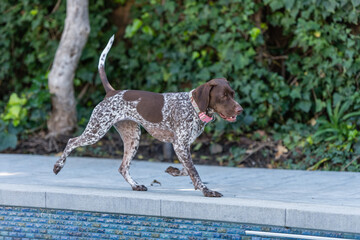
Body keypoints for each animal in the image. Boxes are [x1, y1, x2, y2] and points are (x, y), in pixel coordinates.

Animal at [53, 35, 243, 197]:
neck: (193, 107)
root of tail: (112, 92)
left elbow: (186, 169)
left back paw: (136, 185)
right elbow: (194, 171)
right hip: (96, 131)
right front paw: (206, 190)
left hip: (133, 137)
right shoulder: (180, 145)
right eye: (223, 96)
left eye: (233, 94)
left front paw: (174, 171)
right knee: (71, 141)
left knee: (122, 167)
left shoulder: (182, 146)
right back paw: (58, 166)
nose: (240, 110)